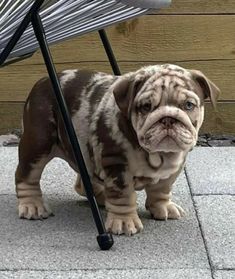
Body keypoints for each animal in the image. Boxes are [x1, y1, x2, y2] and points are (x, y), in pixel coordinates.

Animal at [15, 65, 220, 236]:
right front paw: (123, 221)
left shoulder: (173, 168)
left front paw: (163, 207)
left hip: (84, 151)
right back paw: (32, 206)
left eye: (189, 105)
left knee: (84, 181)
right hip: (37, 144)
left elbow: (162, 188)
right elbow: (123, 195)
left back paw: (102, 198)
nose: (168, 119)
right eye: (146, 107)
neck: (158, 154)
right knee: (26, 175)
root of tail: (42, 81)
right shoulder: (117, 166)